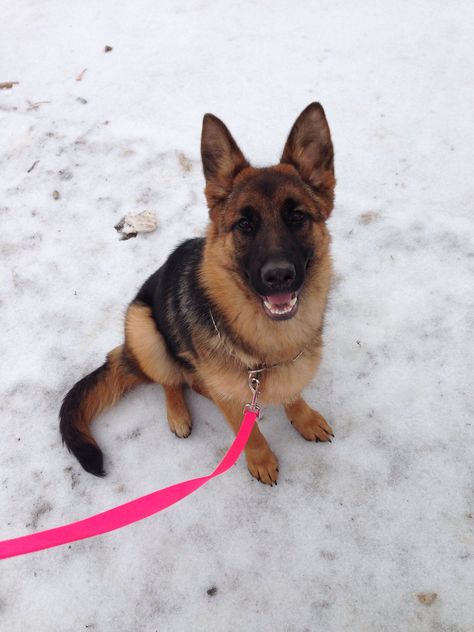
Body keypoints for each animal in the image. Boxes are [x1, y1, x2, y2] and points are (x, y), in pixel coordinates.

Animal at [61, 102, 336, 484]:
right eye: (244, 224)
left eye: (297, 217)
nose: (279, 276)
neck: (267, 342)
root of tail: (125, 353)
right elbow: (249, 432)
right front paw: (261, 459)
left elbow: (292, 393)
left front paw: (304, 418)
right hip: (143, 325)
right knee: (171, 381)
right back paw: (179, 413)